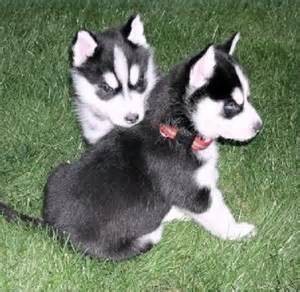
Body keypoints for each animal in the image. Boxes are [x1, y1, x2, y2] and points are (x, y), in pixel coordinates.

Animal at [0, 33, 262, 260]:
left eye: (248, 98)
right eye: (231, 105)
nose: (259, 126)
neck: (178, 131)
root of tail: (52, 226)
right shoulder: (193, 191)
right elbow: (218, 214)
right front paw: (239, 231)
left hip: (58, 172)